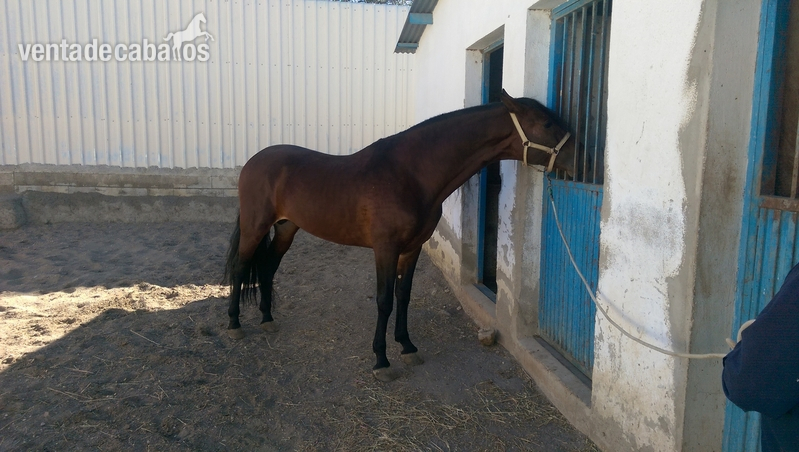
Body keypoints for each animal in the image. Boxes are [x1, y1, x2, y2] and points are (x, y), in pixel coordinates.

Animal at [223, 90, 575, 382]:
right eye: (546, 122)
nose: (580, 157)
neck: (410, 174)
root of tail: (253, 162)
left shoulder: (412, 247)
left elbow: (403, 296)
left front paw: (407, 346)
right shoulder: (386, 249)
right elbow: (384, 300)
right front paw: (381, 360)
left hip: (286, 228)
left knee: (267, 267)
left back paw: (267, 318)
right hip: (255, 227)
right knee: (241, 268)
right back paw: (234, 324)